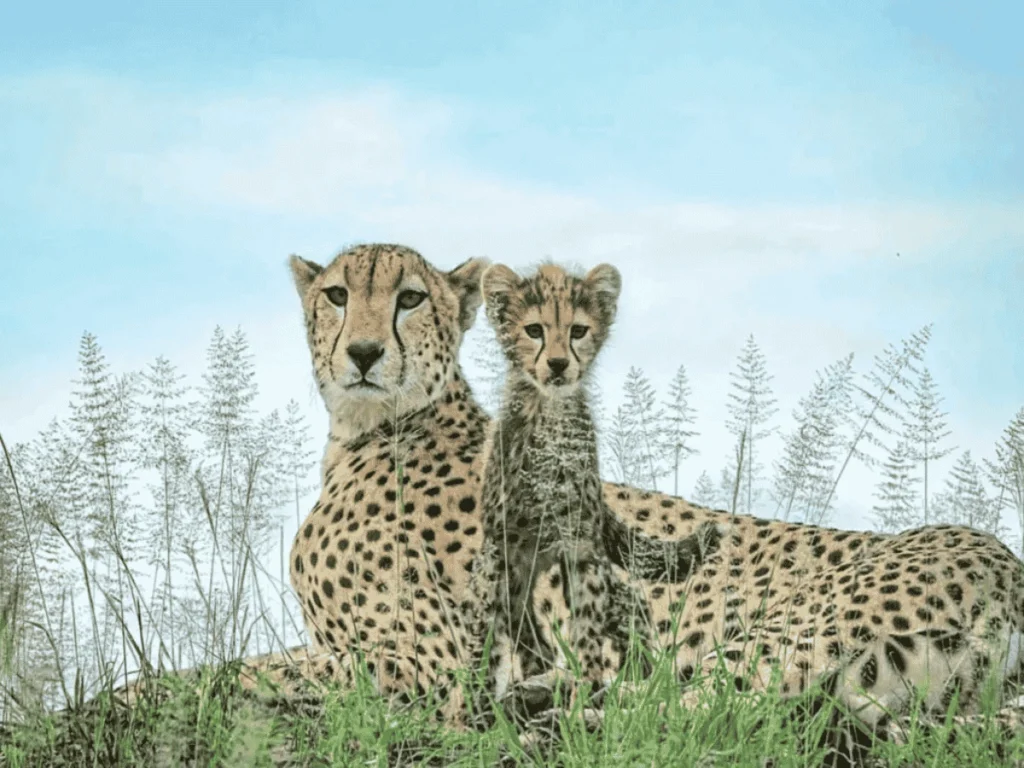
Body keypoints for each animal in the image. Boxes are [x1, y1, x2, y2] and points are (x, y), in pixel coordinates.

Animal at [474, 261, 723, 709]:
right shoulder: (502, 549)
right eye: (534, 330)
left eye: (578, 331)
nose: (557, 364)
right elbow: (506, 626)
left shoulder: (582, 549)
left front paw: (585, 687)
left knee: (630, 605)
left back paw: (635, 675)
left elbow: (587, 628)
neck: (551, 414)